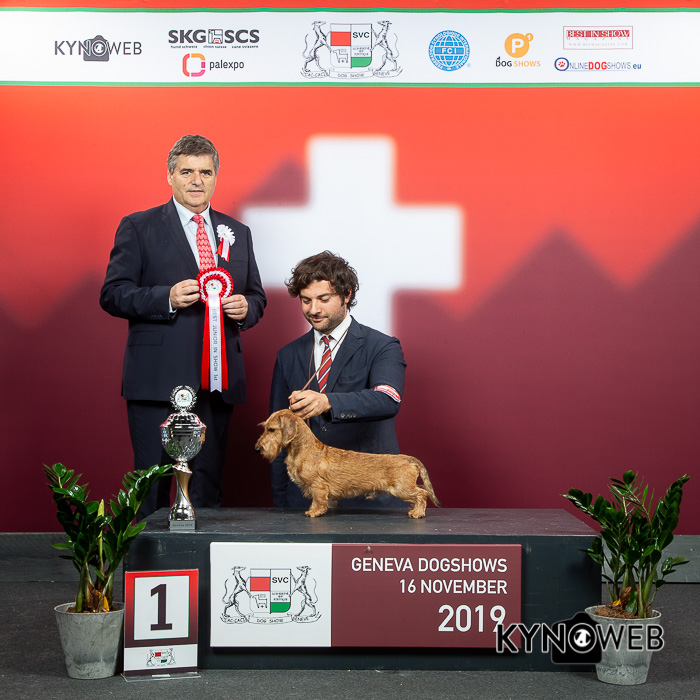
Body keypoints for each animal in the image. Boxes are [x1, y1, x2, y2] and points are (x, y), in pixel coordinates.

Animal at [255, 409, 440, 518]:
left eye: (271, 429)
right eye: (265, 427)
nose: (257, 449)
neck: (304, 448)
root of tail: (408, 459)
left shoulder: (318, 486)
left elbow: (318, 501)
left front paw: (314, 512)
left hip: (401, 489)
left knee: (422, 494)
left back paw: (417, 513)